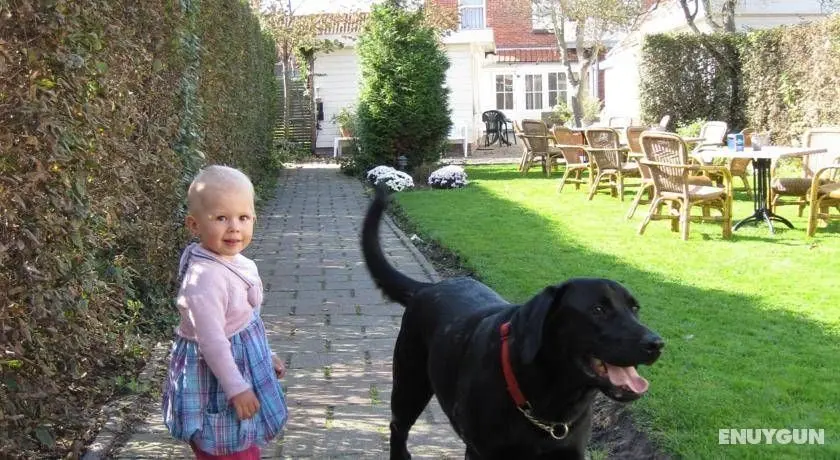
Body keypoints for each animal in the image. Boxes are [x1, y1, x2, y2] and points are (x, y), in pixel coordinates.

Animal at [361, 186, 664, 460]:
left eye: (635, 308)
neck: (551, 399)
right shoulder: (482, 452)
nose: (657, 344)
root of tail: (427, 287)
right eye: (598, 309)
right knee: (397, 428)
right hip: (409, 383)